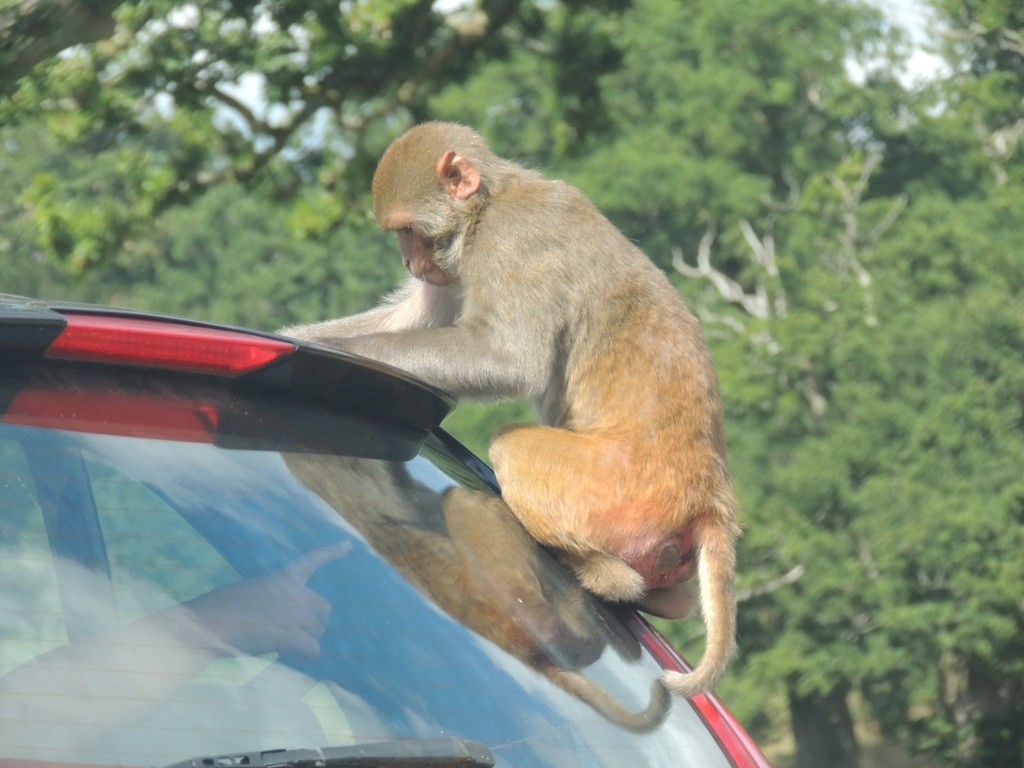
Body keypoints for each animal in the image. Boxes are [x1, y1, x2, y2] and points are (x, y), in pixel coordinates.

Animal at [280, 120, 745, 696]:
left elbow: (506, 358)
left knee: (515, 450)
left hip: (615, 489)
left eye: (408, 230)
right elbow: (417, 319)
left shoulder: (509, 242)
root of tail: (710, 492)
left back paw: (603, 575)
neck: (490, 201)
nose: (409, 261)